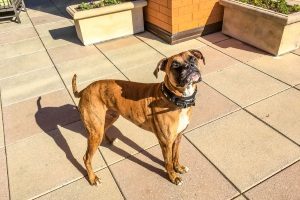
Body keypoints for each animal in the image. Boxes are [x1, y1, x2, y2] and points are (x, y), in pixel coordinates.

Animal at [71, 49, 205, 186]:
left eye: (193, 59)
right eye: (175, 65)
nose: (190, 66)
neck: (173, 98)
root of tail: (85, 89)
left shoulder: (178, 137)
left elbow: (175, 155)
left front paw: (178, 167)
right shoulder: (166, 142)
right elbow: (168, 161)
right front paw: (173, 176)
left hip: (109, 118)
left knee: (104, 129)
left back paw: (109, 141)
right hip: (95, 130)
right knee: (86, 157)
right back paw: (93, 178)